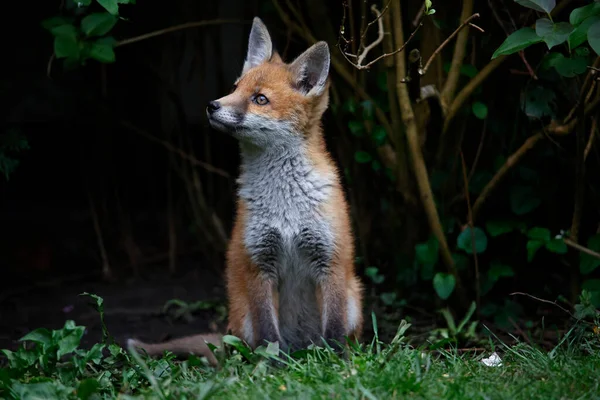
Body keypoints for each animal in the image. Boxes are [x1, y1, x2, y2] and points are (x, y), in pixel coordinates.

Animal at [128, 17, 364, 364]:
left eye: (260, 99)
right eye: (235, 88)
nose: (212, 106)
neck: (286, 203)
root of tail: (301, 347)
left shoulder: (329, 259)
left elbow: (333, 332)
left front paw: (339, 366)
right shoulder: (258, 263)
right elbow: (268, 335)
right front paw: (272, 368)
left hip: (353, 298)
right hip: (242, 316)